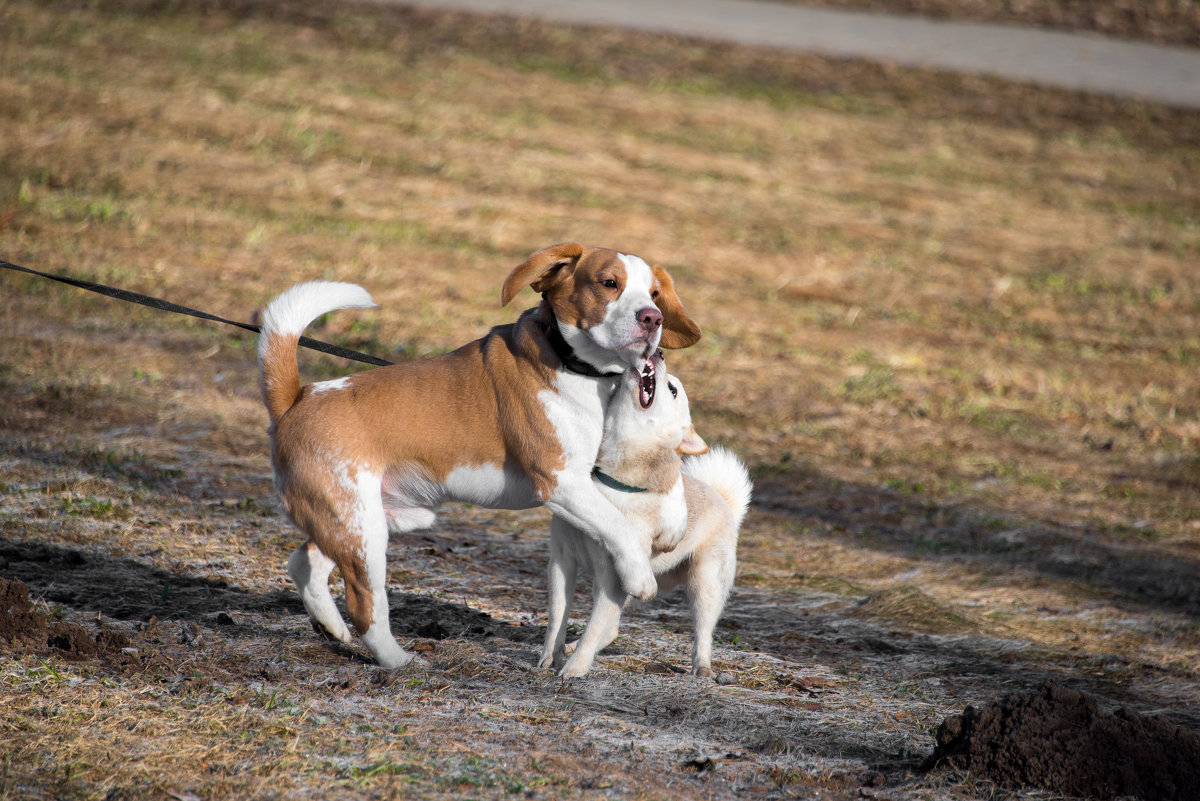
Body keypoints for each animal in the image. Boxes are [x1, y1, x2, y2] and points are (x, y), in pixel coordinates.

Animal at [256, 244, 700, 671]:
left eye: (654, 293)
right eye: (609, 283)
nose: (653, 319)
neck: (577, 367)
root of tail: (298, 399)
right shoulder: (562, 482)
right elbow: (619, 525)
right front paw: (640, 577)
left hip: (361, 521)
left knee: (304, 562)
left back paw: (331, 628)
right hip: (363, 533)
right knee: (364, 607)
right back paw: (399, 660)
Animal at [542, 352, 748, 681]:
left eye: (673, 389)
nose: (659, 353)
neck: (609, 484)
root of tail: (724, 501)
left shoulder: (613, 581)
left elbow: (593, 629)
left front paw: (574, 669)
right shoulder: (563, 561)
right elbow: (557, 616)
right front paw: (550, 656)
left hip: (704, 584)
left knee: (703, 632)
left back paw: (702, 666)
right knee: (612, 629)